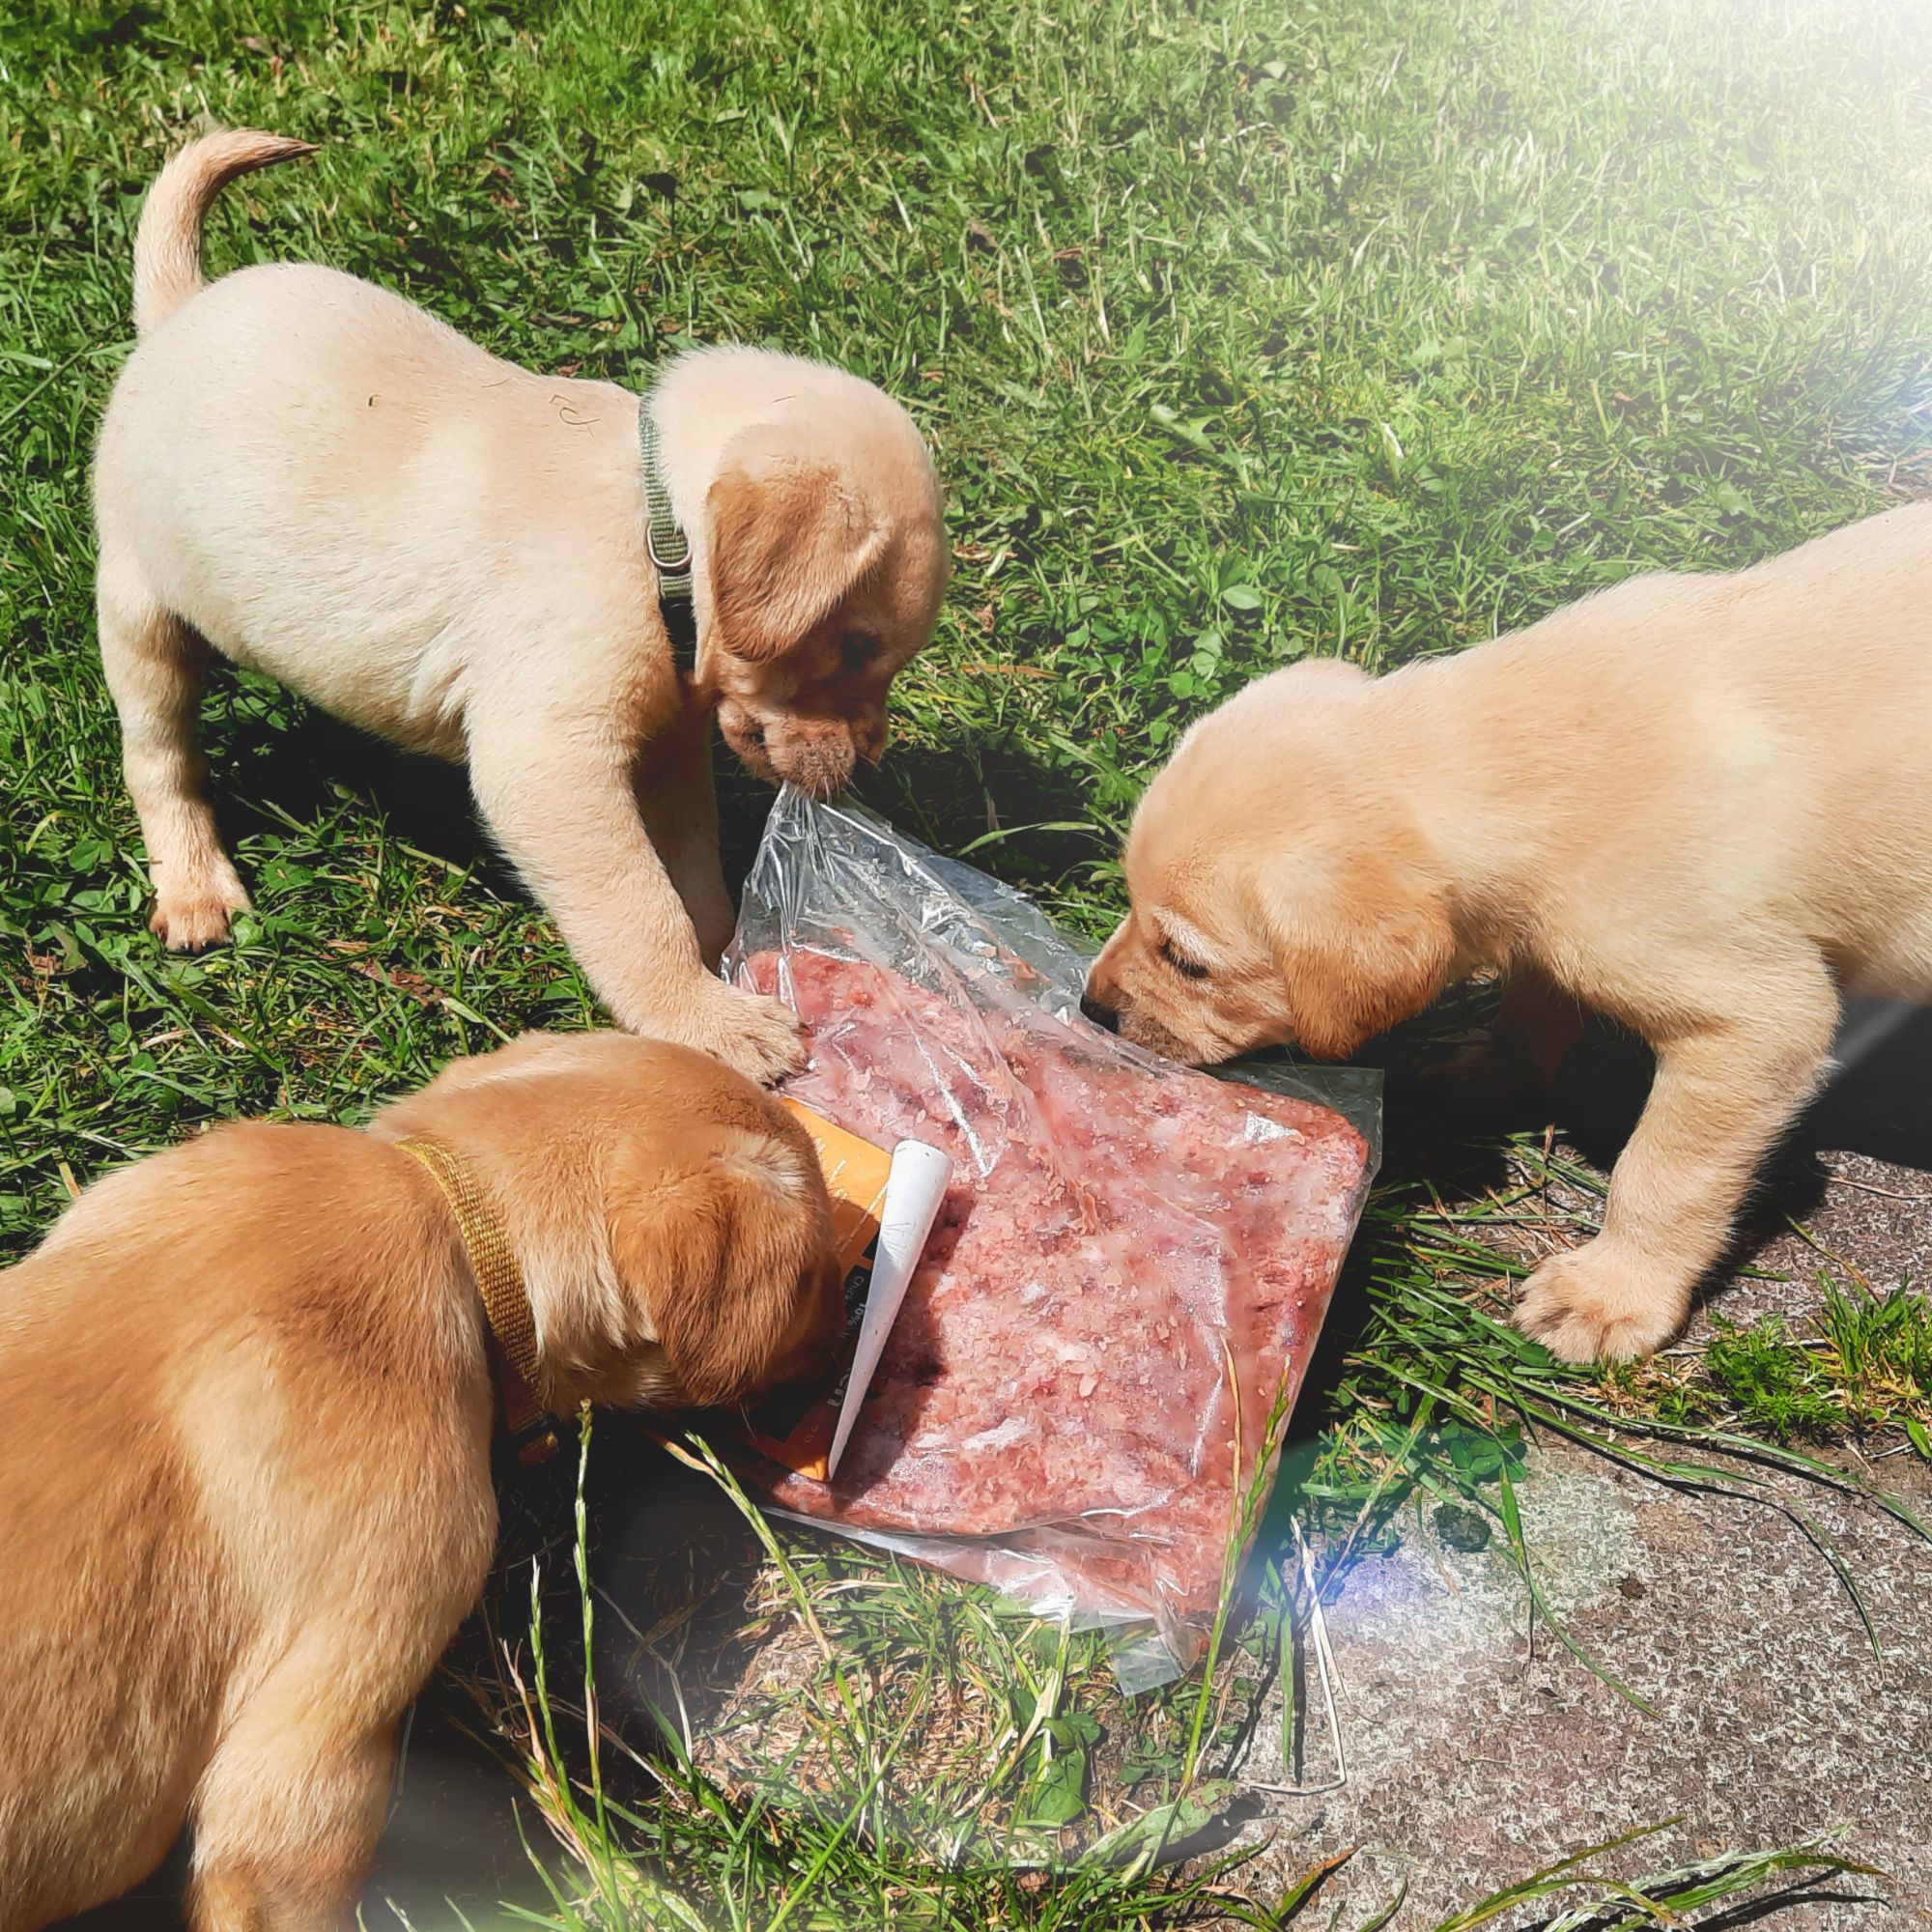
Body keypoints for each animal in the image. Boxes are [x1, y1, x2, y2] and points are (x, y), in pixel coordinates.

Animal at [94, 132, 947, 1090]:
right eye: (856, 646)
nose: (869, 757)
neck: (650, 529)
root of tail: (178, 310)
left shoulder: (668, 751)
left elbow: (692, 874)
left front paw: (731, 956)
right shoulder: (549, 764)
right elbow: (641, 908)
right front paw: (709, 1021)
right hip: (140, 607)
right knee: (159, 756)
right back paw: (195, 887)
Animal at [1090, 506, 1932, 1368]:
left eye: (1188, 963)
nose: (1091, 1008)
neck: (1535, 745)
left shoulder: (1758, 1022)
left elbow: (1662, 1173)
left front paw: (1610, 1294)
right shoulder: (1539, 931)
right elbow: (1531, 1006)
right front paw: (1488, 1069)